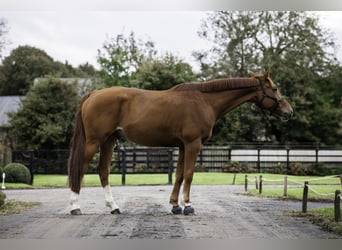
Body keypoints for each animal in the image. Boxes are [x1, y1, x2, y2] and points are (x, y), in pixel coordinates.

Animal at [68, 71, 292, 215]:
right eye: (275, 88)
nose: (289, 112)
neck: (204, 101)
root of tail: (94, 94)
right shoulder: (193, 144)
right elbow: (190, 175)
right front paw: (188, 205)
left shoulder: (183, 145)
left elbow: (179, 175)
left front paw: (175, 206)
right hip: (95, 141)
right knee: (81, 169)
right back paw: (75, 207)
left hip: (109, 141)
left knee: (103, 171)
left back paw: (113, 207)